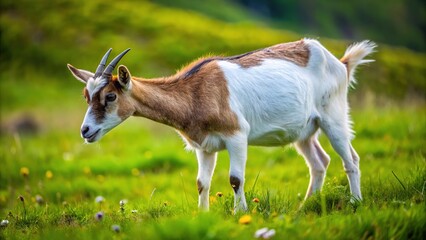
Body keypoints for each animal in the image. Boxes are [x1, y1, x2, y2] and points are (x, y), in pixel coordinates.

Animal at [67, 39, 376, 212]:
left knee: (351, 158)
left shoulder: (237, 135)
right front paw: (203, 215)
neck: (195, 92)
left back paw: (355, 202)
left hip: (333, 115)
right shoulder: (204, 147)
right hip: (303, 131)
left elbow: (235, 179)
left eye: (110, 96)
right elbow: (201, 183)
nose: (85, 131)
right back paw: (304, 206)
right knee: (319, 162)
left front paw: (240, 214)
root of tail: (341, 63)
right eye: (86, 96)